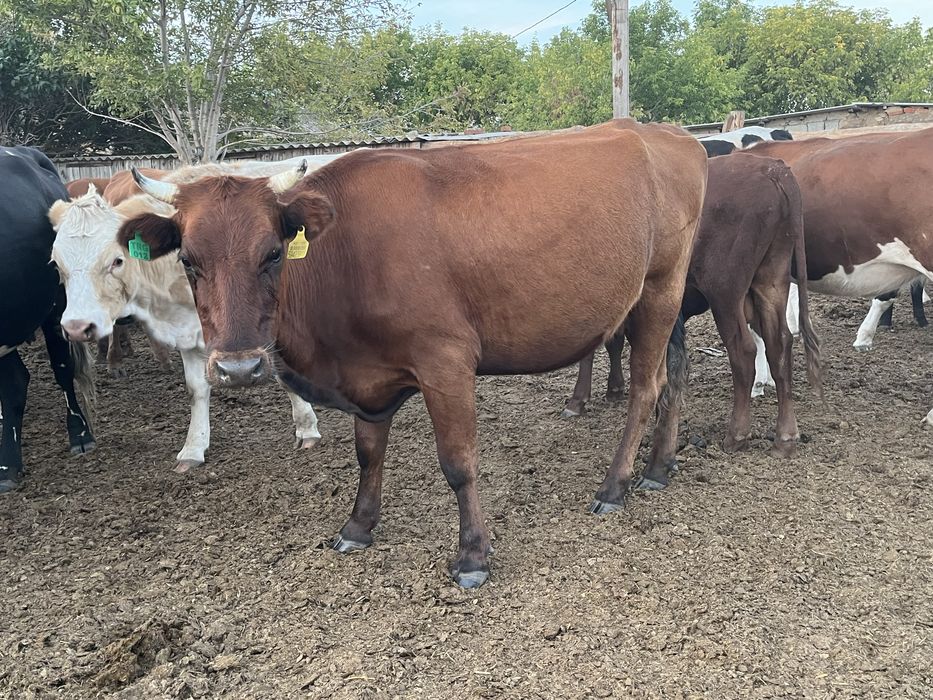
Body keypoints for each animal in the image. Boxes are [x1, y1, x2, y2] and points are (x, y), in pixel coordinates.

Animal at [49, 173, 323, 473]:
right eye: (56, 265)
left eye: (117, 261)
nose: (76, 326)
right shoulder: (192, 338)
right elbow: (196, 389)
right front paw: (193, 447)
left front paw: (306, 427)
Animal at [120, 118, 708, 587]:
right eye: (189, 261)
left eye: (272, 253)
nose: (239, 367)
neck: (347, 255)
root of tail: (666, 133)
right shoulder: (367, 374)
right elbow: (368, 452)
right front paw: (357, 526)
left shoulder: (445, 361)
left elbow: (458, 462)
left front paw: (472, 556)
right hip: (665, 300)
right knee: (675, 375)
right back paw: (659, 465)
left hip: (659, 290)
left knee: (646, 388)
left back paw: (615, 486)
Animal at [564, 153, 821, 484]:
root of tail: (773, 168)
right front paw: (615, 389)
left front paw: (579, 399)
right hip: (771, 279)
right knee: (780, 346)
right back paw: (785, 437)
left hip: (725, 292)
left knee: (744, 351)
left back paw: (736, 435)